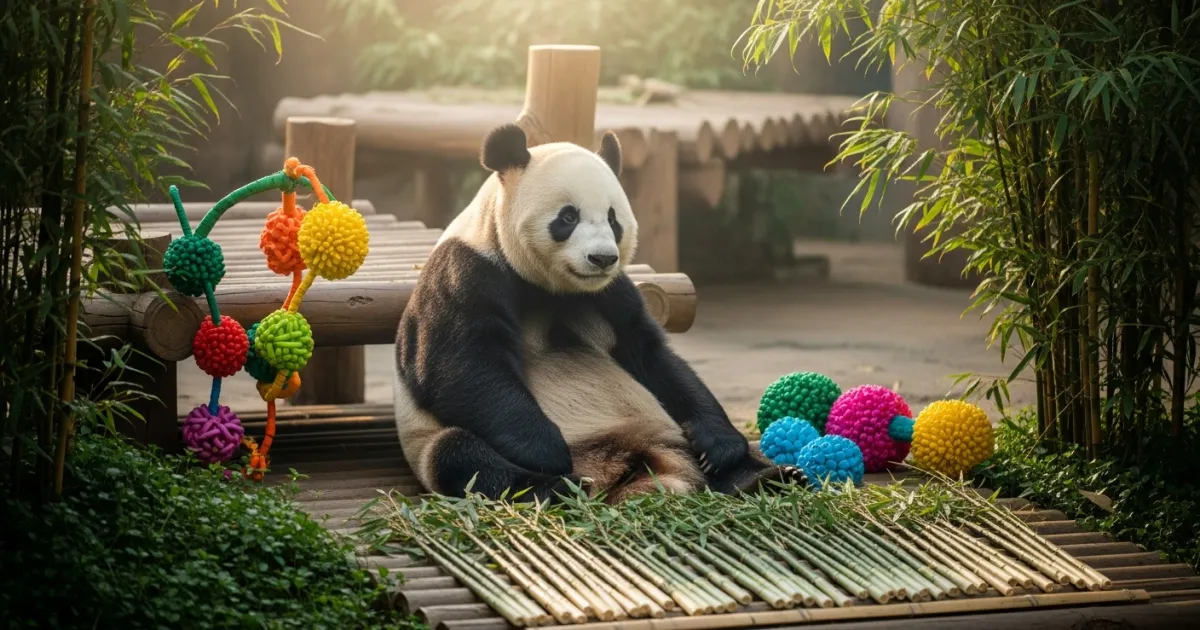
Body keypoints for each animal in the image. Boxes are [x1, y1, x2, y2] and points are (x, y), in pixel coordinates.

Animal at [393, 122, 806, 503]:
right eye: (568, 217)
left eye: (613, 218)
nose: (602, 258)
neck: (547, 287)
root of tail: (628, 471)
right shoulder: (468, 271)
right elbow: (459, 366)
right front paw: (547, 452)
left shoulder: (611, 292)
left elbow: (652, 354)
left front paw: (718, 444)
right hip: (429, 441)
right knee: (462, 456)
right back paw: (556, 486)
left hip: (664, 431)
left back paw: (768, 476)